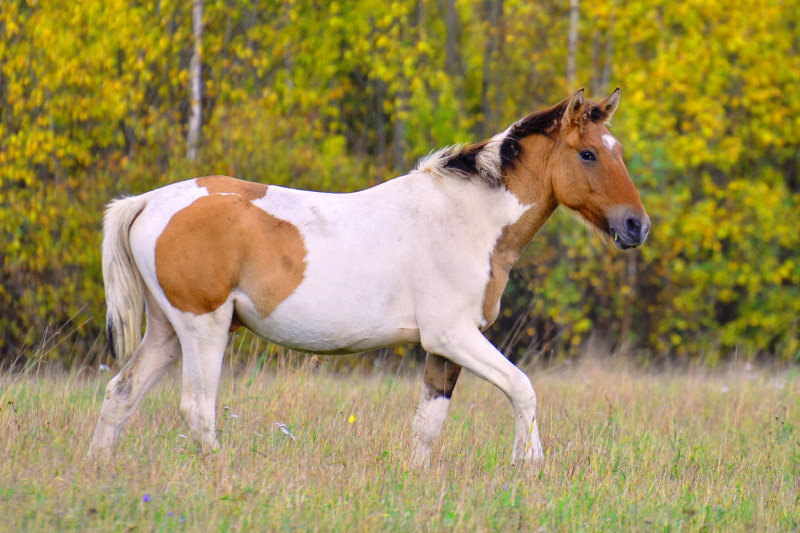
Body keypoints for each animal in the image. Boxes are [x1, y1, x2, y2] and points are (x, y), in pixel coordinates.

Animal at [87, 88, 648, 466]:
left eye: (618, 151)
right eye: (588, 153)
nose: (635, 226)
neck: (466, 217)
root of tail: (150, 201)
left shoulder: (446, 347)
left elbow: (428, 425)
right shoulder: (453, 336)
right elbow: (522, 388)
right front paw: (528, 464)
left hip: (166, 332)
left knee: (120, 395)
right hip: (203, 328)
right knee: (197, 410)